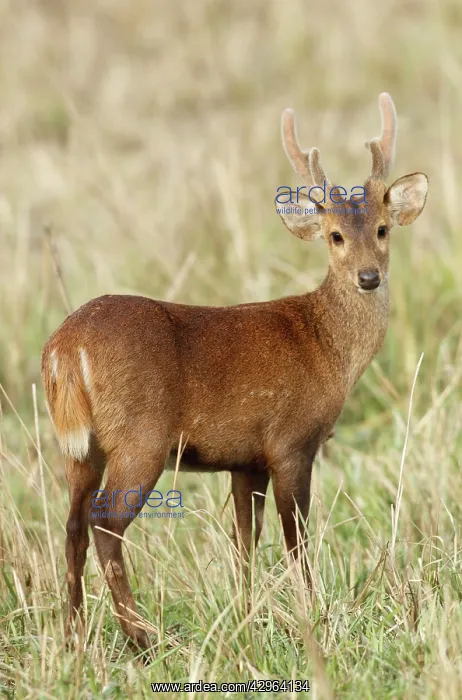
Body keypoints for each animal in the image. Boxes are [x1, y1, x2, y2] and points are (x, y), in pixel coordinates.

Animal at [41, 93, 428, 653]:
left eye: (382, 228)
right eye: (334, 235)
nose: (369, 277)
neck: (326, 348)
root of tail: (66, 347)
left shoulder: (246, 459)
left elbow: (245, 543)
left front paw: (246, 618)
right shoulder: (290, 441)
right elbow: (296, 542)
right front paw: (312, 617)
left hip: (81, 445)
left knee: (72, 524)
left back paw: (73, 637)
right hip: (140, 436)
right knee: (105, 524)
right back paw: (141, 638)